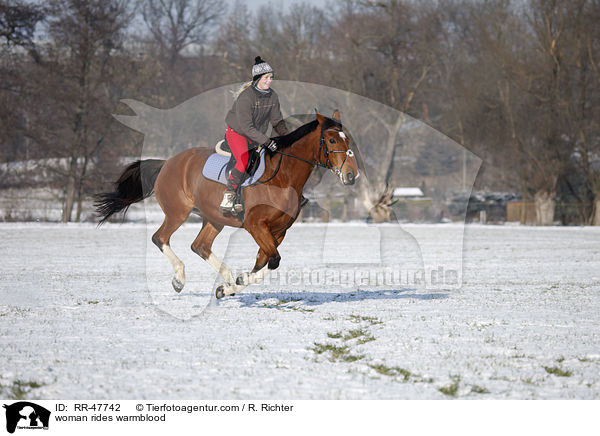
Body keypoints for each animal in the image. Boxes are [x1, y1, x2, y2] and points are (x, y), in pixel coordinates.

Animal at [94, 110, 356, 298]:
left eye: (347, 140)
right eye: (331, 140)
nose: (352, 175)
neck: (283, 178)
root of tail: (167, 162)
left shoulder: (279, 231)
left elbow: (263, 263)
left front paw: (231, 285)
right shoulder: (255, 225)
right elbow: (273, 261)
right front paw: (237, 281)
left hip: (214, 218)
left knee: (200, 246)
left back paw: (227, 278)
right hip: (178, 213)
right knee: (160, 238)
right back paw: (180, 279)